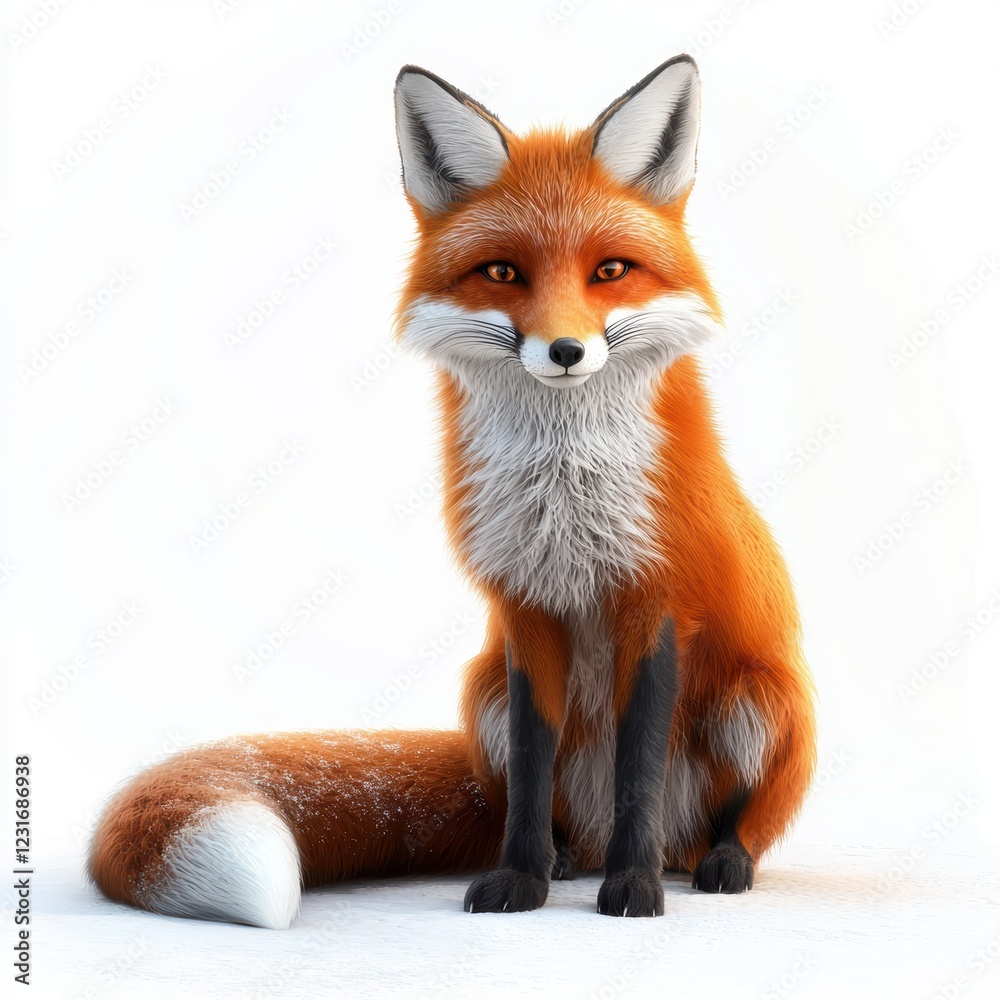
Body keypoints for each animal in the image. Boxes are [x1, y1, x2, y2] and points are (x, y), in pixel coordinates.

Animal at [88, 55, 816, 927]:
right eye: (503, 272)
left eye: (609, 271)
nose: (565, 351)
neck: (563, 498)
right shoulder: (526, 610)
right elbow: (533, 774)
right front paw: (522, 882)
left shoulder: (656, 602)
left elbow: (638, 770)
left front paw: (634, 891)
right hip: (484, 695)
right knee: (541, 808)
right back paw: (566, 861)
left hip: (758, 700)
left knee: (731, 823)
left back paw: (715, 862)